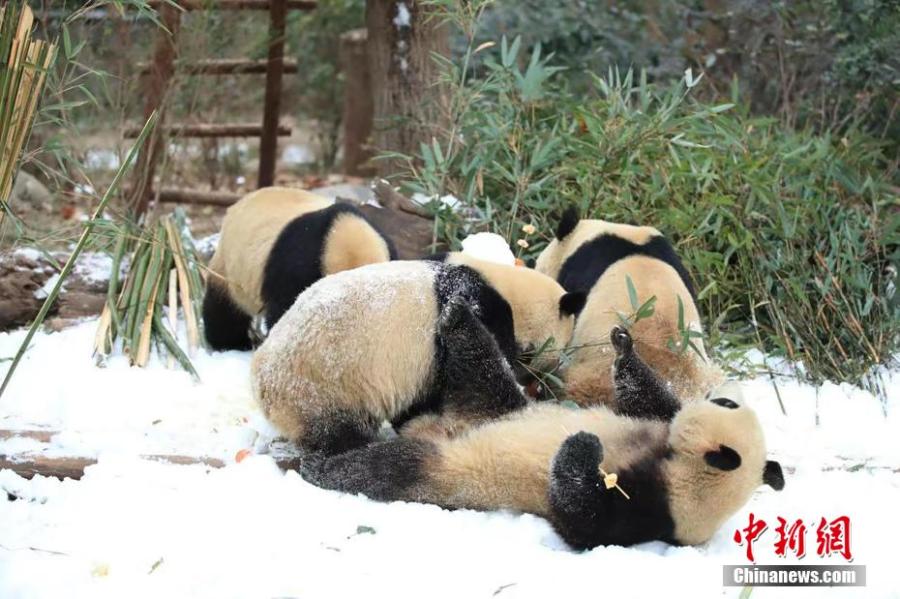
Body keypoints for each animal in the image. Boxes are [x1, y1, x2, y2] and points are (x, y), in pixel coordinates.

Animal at [251, 257, 587, 454]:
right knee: (337, 430)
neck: (508, 290)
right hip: (325, 385)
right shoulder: (476, 307)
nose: (540, 381)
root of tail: (262, 386)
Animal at [299, 326, 785, 550]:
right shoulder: (657, 427)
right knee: (477, 363)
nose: (723, 394)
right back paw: (458, 311)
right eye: (729, 405)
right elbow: (650, 401)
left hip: (453, 466)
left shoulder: (653, 508)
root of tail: (448, 426)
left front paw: (584, 444)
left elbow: (583, 519)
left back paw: (320, 466)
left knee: (392, 467)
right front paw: (624, 346)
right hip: (497, 405)